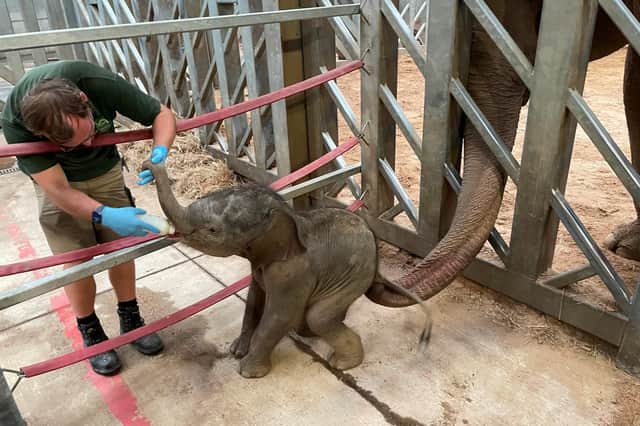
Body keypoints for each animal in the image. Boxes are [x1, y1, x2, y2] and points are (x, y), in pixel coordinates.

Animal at [142, 160, 431, 378]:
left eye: (212, 230)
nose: (147, 165)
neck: (284, 213)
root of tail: (378, 264)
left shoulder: (292, 272)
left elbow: (278, 315)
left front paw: (247, 372)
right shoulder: (261, 263)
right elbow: (254, 301)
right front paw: (236, 351)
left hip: (354, 276)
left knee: (319, 316)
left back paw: (340, 363)